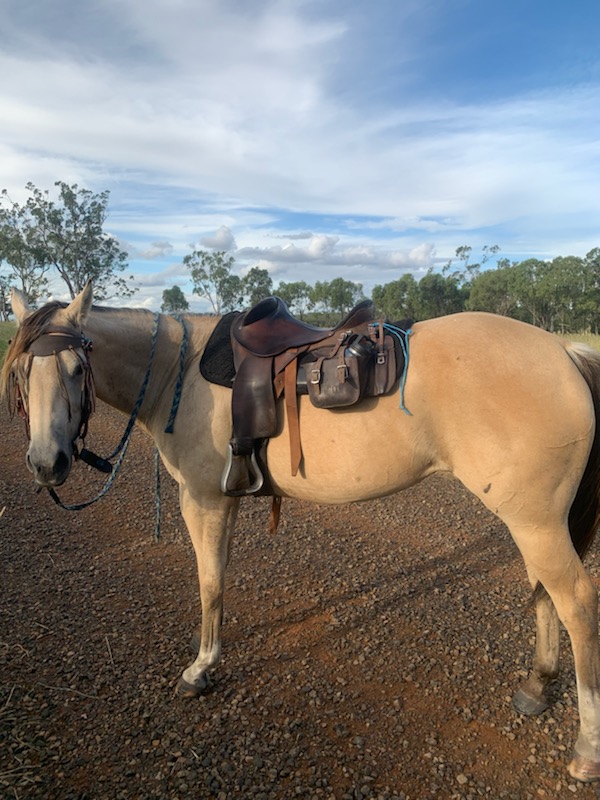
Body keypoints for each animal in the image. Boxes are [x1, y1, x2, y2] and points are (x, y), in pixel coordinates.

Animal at [4, 282, 600, 783]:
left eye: (76, 368)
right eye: (21, 373)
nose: (46, 463)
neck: (180, 374)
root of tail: (563, 352)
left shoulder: (203, 499)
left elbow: (209, 583)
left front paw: (201, 668)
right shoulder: (225, 498)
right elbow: (218, 579)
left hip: (535, 522)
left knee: (576, 604)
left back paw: (585, 751)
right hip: (533, 522)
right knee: (545, 595)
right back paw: (537, 684)